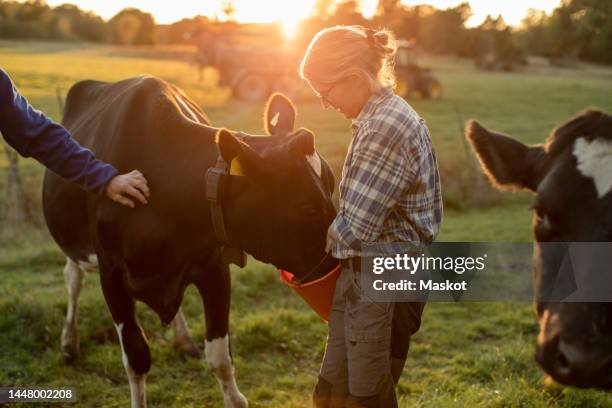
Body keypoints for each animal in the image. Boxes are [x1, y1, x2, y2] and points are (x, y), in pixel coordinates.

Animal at [41, 75, 340, 404]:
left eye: (332, 186)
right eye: (307, 207)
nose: (340, 266)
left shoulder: (215, 269)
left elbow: (220, 358)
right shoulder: (112, 273)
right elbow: (136, 357)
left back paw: (183, 340)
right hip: (75, 244)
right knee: (73, 279)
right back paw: (69, 342)